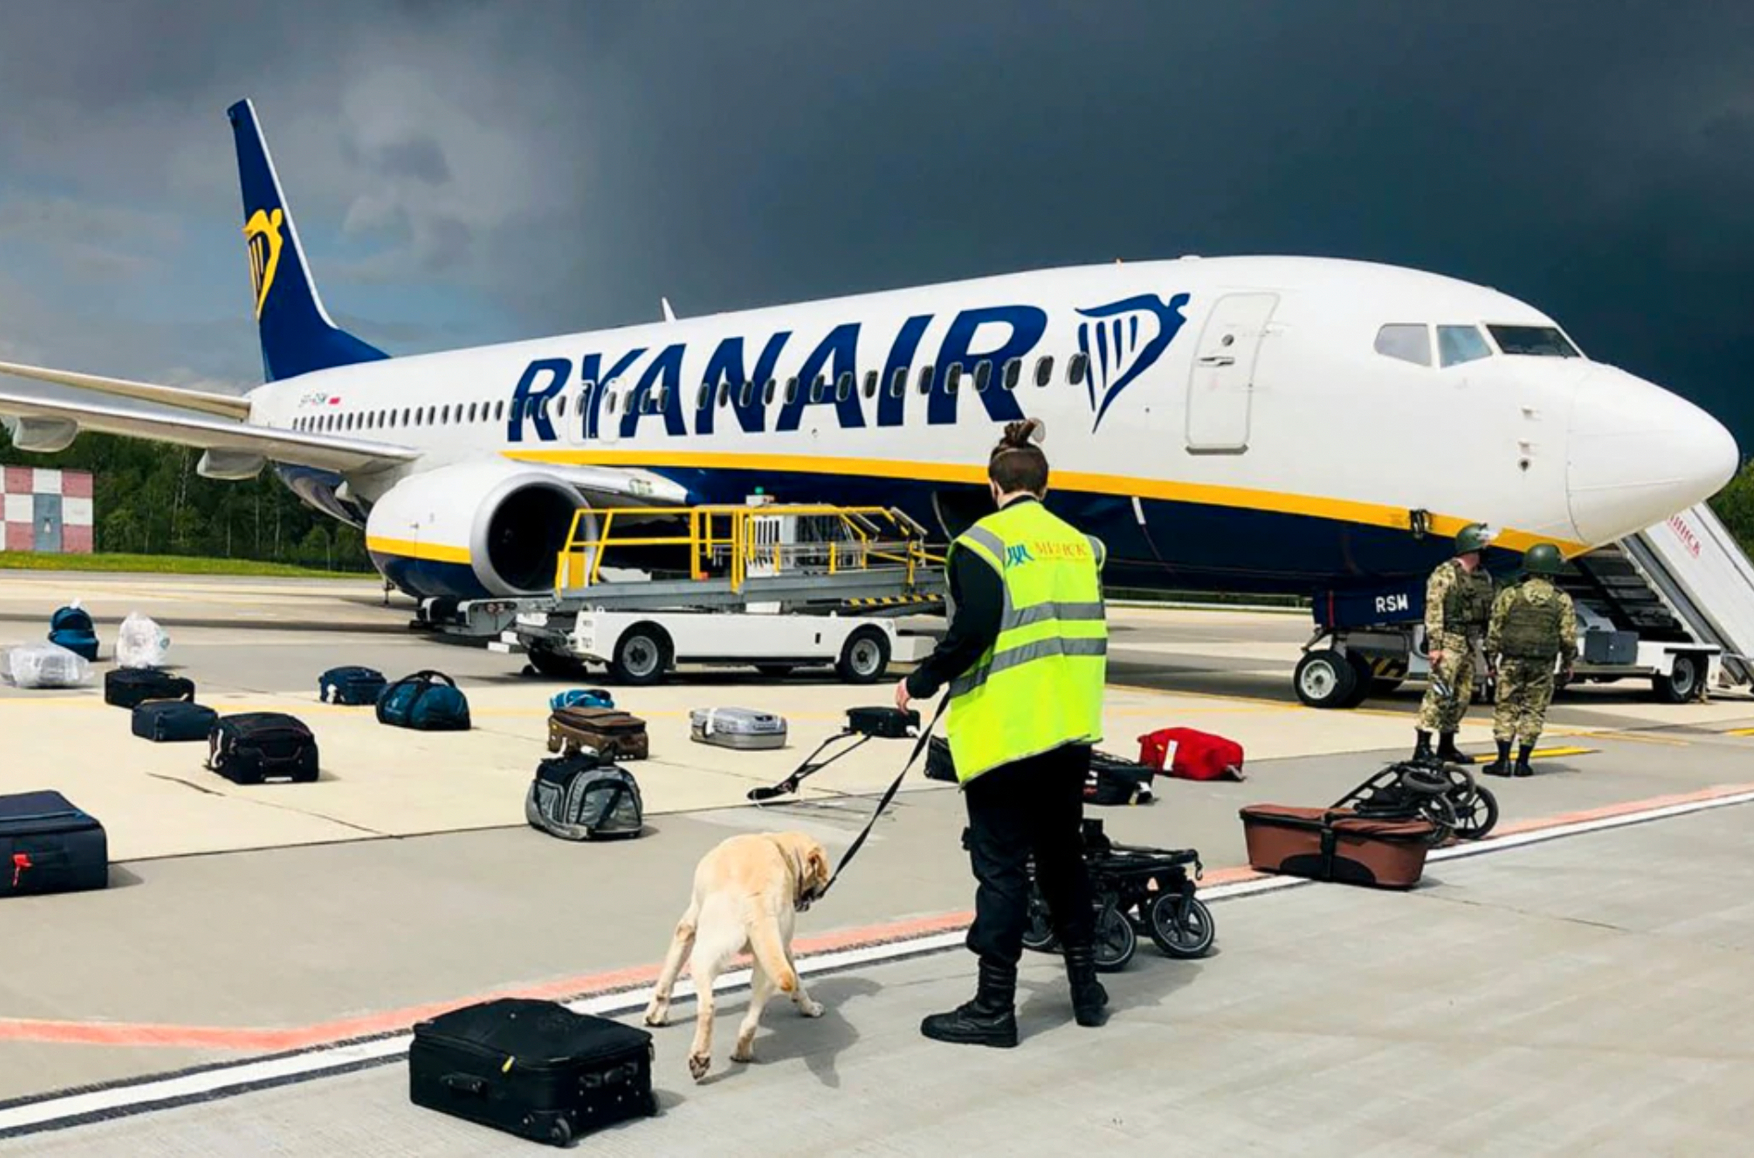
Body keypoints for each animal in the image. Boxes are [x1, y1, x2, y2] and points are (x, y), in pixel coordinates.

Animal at [643, 831, 831, 1081]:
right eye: (821, 872)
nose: (825, 888)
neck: (777, 845)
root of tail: (758, 898)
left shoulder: (687, 927)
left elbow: (667, 978)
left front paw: (655, 1016)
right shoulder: (782, 949)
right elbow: (798, 982)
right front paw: (809, 1008)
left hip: (704, 955)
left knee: (708, 1006)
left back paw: (700, 1057)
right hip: (766, 970)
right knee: (751, 1020)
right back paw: (742, 1051)